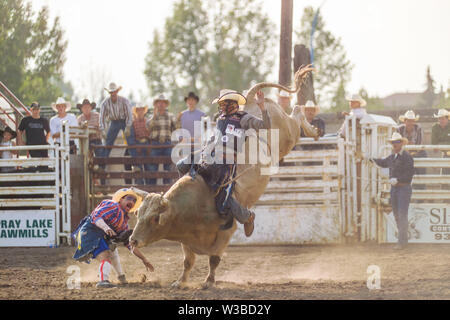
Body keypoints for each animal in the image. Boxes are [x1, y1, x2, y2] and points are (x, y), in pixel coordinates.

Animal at [128, 65, 318, 288]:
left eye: (155, 218)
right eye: (138, 213)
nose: (133, 240)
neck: (193, 206)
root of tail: (250, 99)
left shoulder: (225, 233)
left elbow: (214, 260)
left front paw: (209, 282)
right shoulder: (186, 241)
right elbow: (187, 261)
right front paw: (180, 282)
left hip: (287, 134)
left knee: (296, 113)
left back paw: (313, 131)